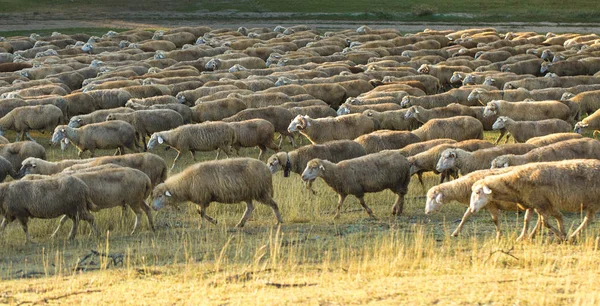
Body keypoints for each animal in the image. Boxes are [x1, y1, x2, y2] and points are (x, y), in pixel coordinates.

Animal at [149, 158, 282, 227]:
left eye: (160, 196)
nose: (153, 207)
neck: (186, 183)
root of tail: (267, 169)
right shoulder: (201, 199)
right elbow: (199, 212)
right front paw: (214, 221)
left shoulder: (203, 198)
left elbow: (202, 213)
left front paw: (201, 226)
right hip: (247, 194)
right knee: (249, 208)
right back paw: (240, 223)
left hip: (261, 192)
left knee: (274, 205)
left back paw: (279, 221)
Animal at [468, 158, 600, 241]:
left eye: (478, 192)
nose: (472, 209)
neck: (515, 181)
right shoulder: (534, 203)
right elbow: (528, 220)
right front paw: (522, 237)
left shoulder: (542, 203)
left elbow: (547, 222)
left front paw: (562, 236)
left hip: (593, 201)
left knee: (588, 219)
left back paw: (573, 236)